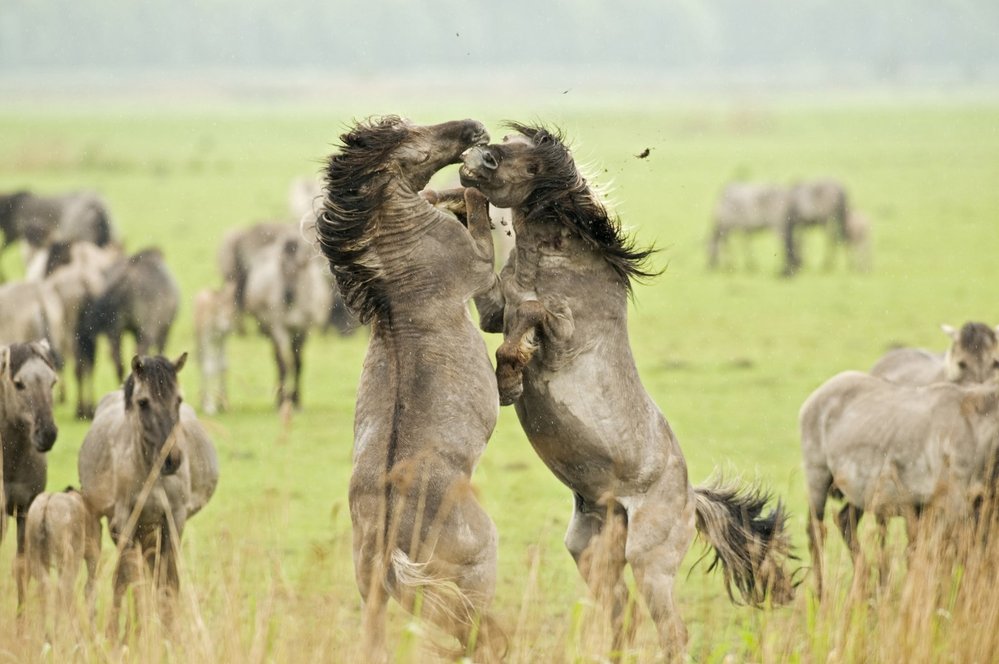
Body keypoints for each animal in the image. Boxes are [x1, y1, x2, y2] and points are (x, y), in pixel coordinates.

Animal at [75, 246, 181, 418]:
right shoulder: (164, 330)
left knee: (118, 361)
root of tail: (126, 276)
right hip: (145, 330)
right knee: (138, 352)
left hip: (115, 330)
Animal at [77, 352, 219, 628]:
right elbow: (129, 580)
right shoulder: (124, 523)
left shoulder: (174, 521)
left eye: (178, 400)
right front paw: (126, 632)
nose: (172, 459)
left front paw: (169, 632)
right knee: (130, 577)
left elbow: (168, 583)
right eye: (143, 402)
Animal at [318, 115, 504, 660]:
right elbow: (477, 216)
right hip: (476, 571)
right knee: (479, 632)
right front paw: (471, 188)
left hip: (377, 598)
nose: (474, 127)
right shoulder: (479, 266)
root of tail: (389, 549)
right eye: (413, 140)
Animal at [800, 370, 999, 592]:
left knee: (845, 524)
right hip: (818, 482)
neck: (976, 432)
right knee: (816, 534)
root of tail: (815, 397)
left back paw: (862, 585)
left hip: (858, 494)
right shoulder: (953, 509)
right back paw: (821, 593)